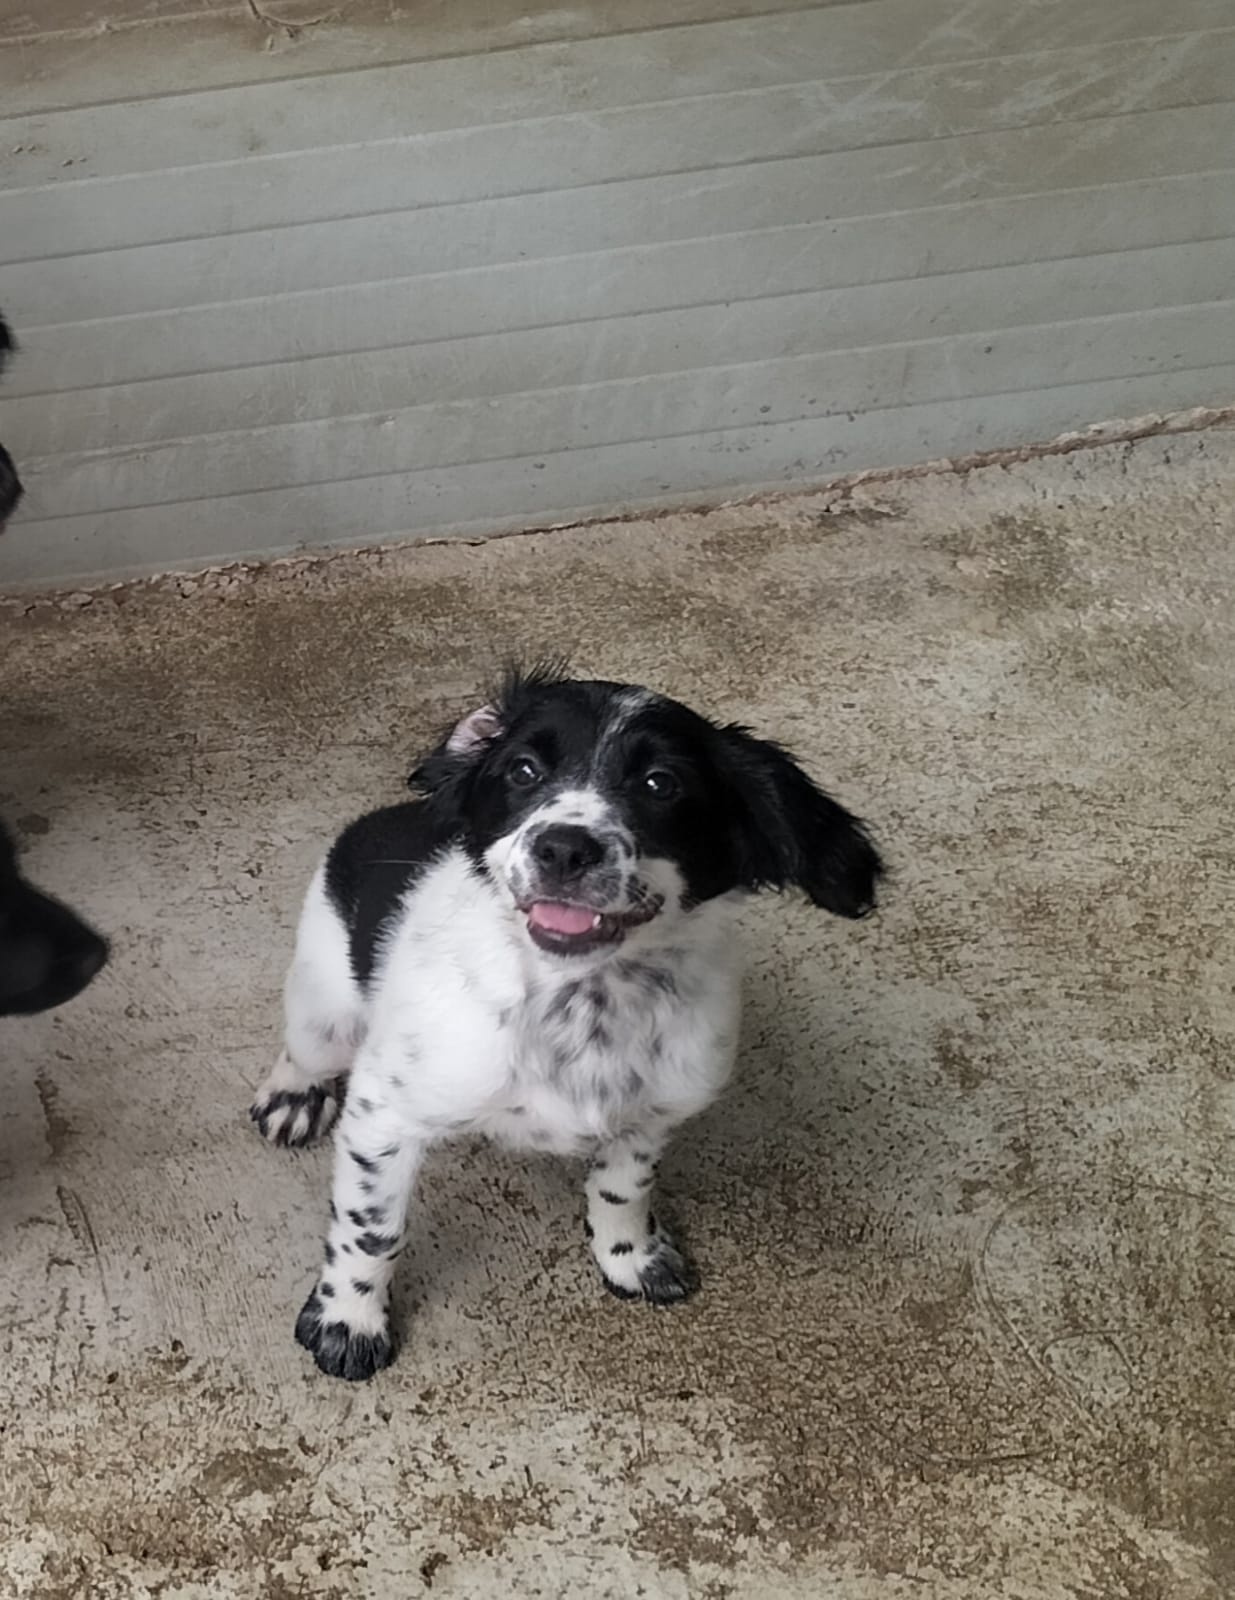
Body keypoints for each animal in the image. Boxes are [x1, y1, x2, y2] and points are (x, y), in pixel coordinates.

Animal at [250, 667, 883, 1381]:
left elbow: (624, 1188)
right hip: (325, 1009)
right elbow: (371, 1228)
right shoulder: (383, 1112)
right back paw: (293, 1097)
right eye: (523, 770)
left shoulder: (652, 1113)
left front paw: (630, 1257)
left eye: (661, 783)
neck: (582, 1003)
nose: (563, 847)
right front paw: (348, 1320)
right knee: (303, 1050)